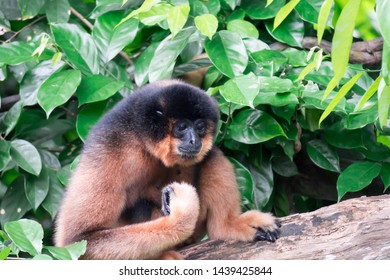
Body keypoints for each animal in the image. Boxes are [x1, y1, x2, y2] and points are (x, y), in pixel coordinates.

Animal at [54, 80, 280, 260]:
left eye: (199, 127)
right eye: (182, 127)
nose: (194, 140)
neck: (144, 143)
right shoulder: (109, 146)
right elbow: (80, 239)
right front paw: (178, 215)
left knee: (211, 156)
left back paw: (227, 226)